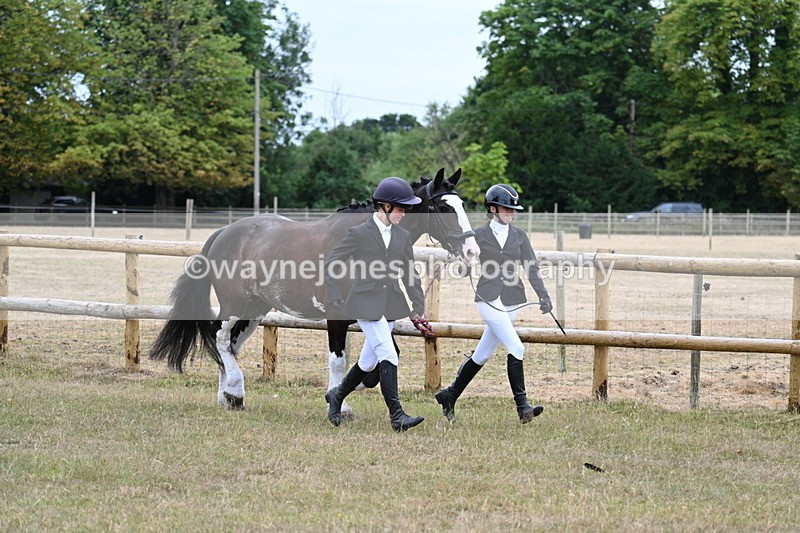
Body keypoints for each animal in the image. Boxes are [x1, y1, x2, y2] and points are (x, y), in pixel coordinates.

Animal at [148, 168, 481, 411]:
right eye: (443, 206)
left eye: (462, 205)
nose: (472, 251)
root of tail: (224, 233)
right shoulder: (336, 315)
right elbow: (339, 360)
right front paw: (339, 403)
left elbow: (381, 357)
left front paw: (352, 388)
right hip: (235, 305)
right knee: (219, 338)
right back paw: (236, 390)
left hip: (254, 311)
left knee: (230, 345)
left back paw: (228, 397)